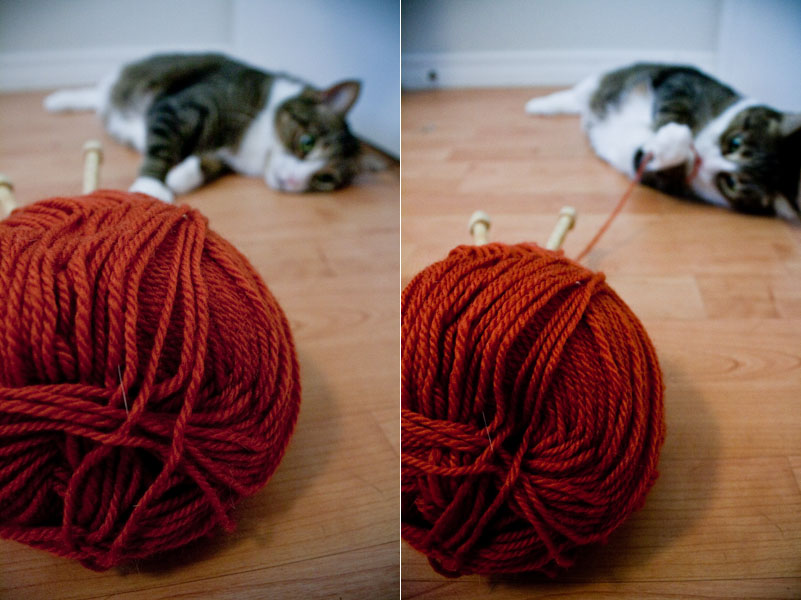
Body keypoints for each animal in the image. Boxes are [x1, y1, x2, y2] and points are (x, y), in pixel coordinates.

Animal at [43, 52, 388, 202]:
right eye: (307, 142)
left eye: (325, 178)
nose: (292, 182)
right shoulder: (180, 107)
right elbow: (162, 147)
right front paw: (151, 187)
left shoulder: (224, 156)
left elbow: (209, 164)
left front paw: (180, 177)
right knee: (98, 93)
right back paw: (59, 100)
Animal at [524, 62, 800, 218]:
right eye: (734, 143)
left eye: (730, 182)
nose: (703, 160)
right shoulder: (684, 82)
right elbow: (674, 106)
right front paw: (672, 132)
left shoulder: (656, 176)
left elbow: (647, 160)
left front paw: (669, 147)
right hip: (608, 79)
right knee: (576, 94)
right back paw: (539, 105)